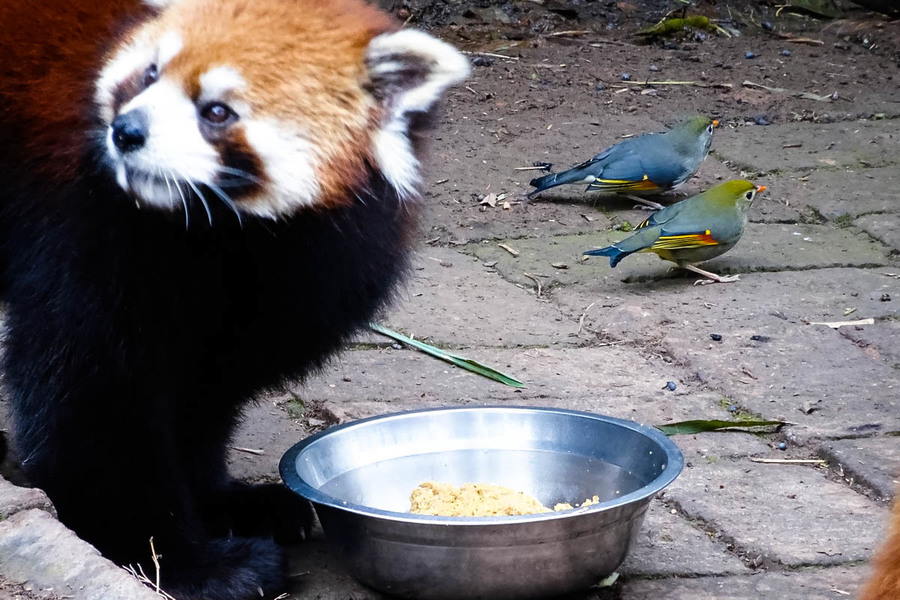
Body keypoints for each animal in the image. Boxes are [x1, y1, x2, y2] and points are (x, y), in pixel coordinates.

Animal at [0, 2, 468, 596]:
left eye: (217, 111)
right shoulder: (83, 227)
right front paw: (184, 561)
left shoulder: (302, 276)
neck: (221, 232)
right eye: (149, 75)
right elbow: (91, 392)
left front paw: (222, 503)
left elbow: (205, 391)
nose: (125, 131)